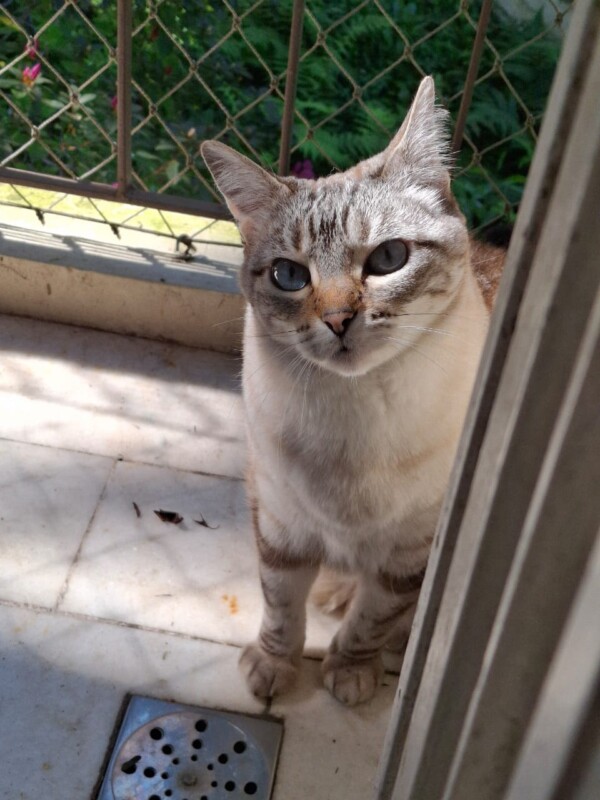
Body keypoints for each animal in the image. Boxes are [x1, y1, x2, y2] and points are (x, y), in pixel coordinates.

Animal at [203, 73, 506, 700]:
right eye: (288, 275)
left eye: (389, 258)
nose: (339, 319)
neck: (354, 411)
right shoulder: (280, 522)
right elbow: (280, 604)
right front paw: (274, 667)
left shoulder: (413, 553)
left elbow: (375, 617)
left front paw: (349, 671)